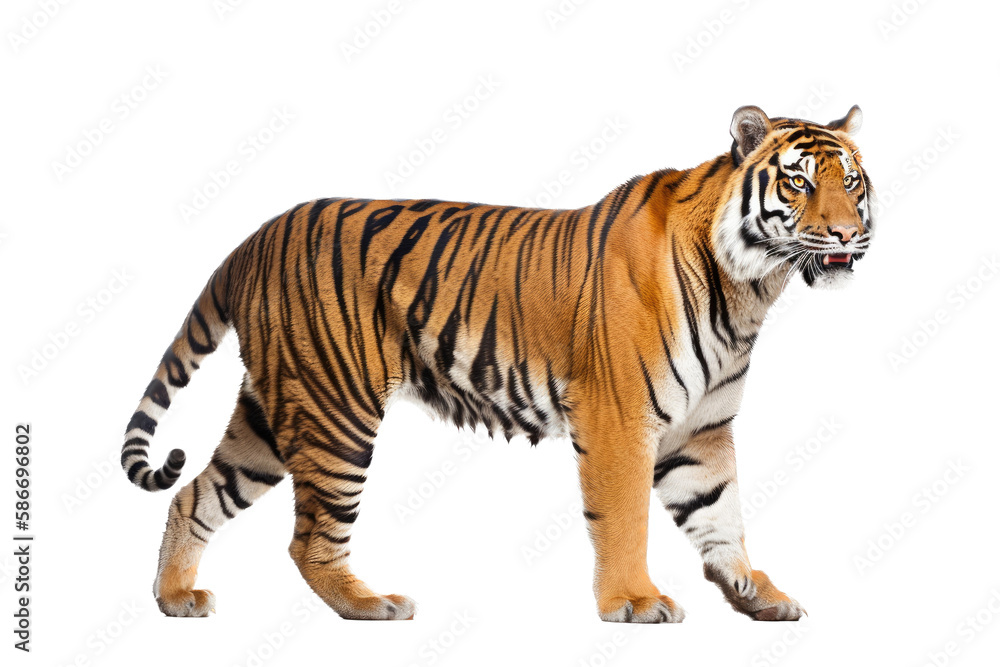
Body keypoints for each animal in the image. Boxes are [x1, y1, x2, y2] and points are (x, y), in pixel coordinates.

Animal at [122, 104, 874, 623]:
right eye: (798, 183)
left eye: (852, 182)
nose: (847, 233)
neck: (750, 288)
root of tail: (255, 236)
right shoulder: (618, 418)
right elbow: (624, 517)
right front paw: (634, 601)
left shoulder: (702, 431)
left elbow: (720, 514)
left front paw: (757, 595)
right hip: (335, 410)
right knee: (308, 539)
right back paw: (370, 605)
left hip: (275, 410)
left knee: (196, 493)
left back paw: (175, 597)